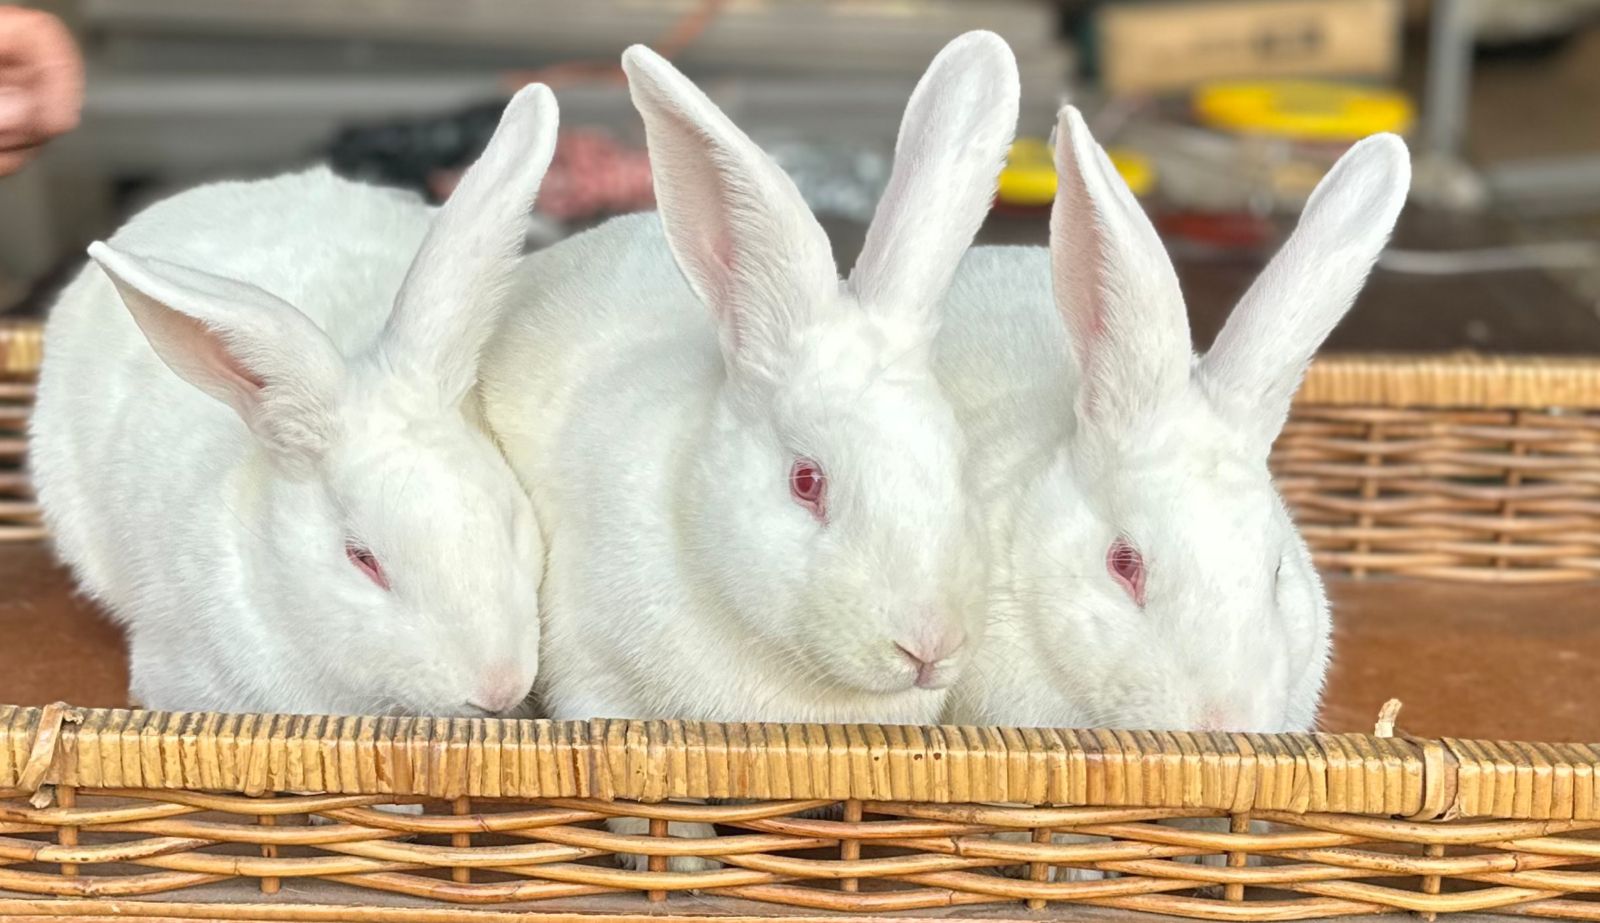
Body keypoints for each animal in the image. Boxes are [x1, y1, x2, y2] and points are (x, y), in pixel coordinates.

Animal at [479, 33, 1018, 869]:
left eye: (956, 465)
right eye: (806, 481)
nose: (930, 645)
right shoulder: (596, 682)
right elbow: (634, 777)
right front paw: (682, 854)